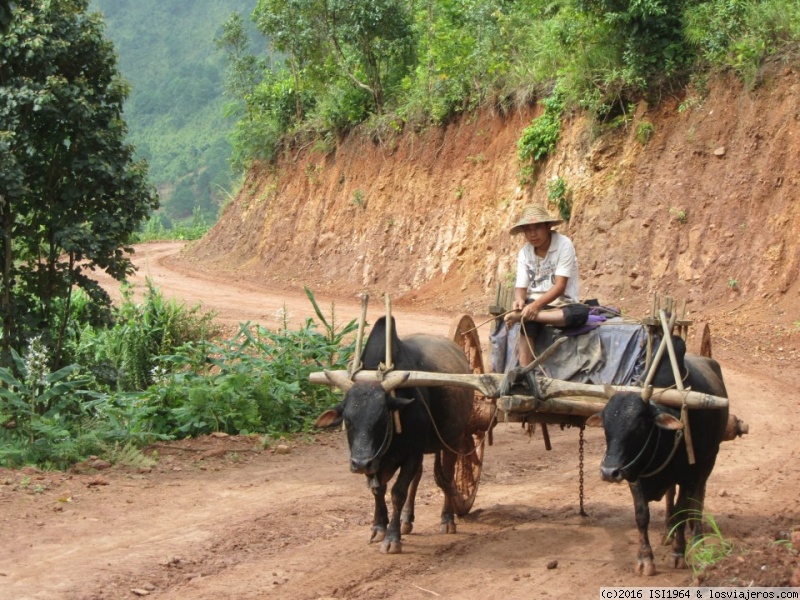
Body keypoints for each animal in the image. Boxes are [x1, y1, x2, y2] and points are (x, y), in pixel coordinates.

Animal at [314, 316, 476, 556]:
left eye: (382, 419)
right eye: (348, 420)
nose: (360, 464)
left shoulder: (411, 453)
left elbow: (398, 492)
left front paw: (392, 538)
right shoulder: (378, 461)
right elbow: (378, 490)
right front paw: (378, 527)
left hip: (453, 440)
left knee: (446, 477)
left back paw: (447, 519)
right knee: (418, 477)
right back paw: (407, 520)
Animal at [584, 338, 728, 576]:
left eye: (639, 426)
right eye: (605, 425)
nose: (609, 472)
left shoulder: (688, 476)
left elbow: (682, 511)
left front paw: (678, 553)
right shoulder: (634, 476)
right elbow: (642, 515)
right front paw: (645, 559)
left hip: (709, 461)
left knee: (697, 501)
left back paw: (697, 539)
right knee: (671, 496)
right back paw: (668, 532)